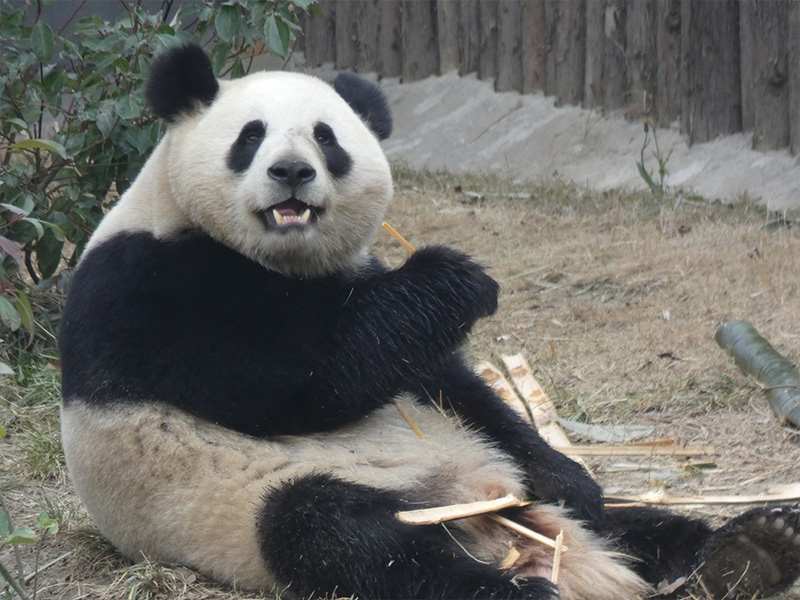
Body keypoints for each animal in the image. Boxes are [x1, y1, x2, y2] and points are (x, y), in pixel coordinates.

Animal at [61, 43, 800, 600]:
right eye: (251, 136)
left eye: (327, 138)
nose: (292, 172)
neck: (281, 260)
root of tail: (487, 513)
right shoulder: (148, 290)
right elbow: (299, 378)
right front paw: (458, 277)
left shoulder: (362, 289)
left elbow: (452, 385)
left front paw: (572, 475)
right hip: (241, 501)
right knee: (348, 540)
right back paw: (517, 590)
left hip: (503, 483)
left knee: (635, 525)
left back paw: (748, 548)